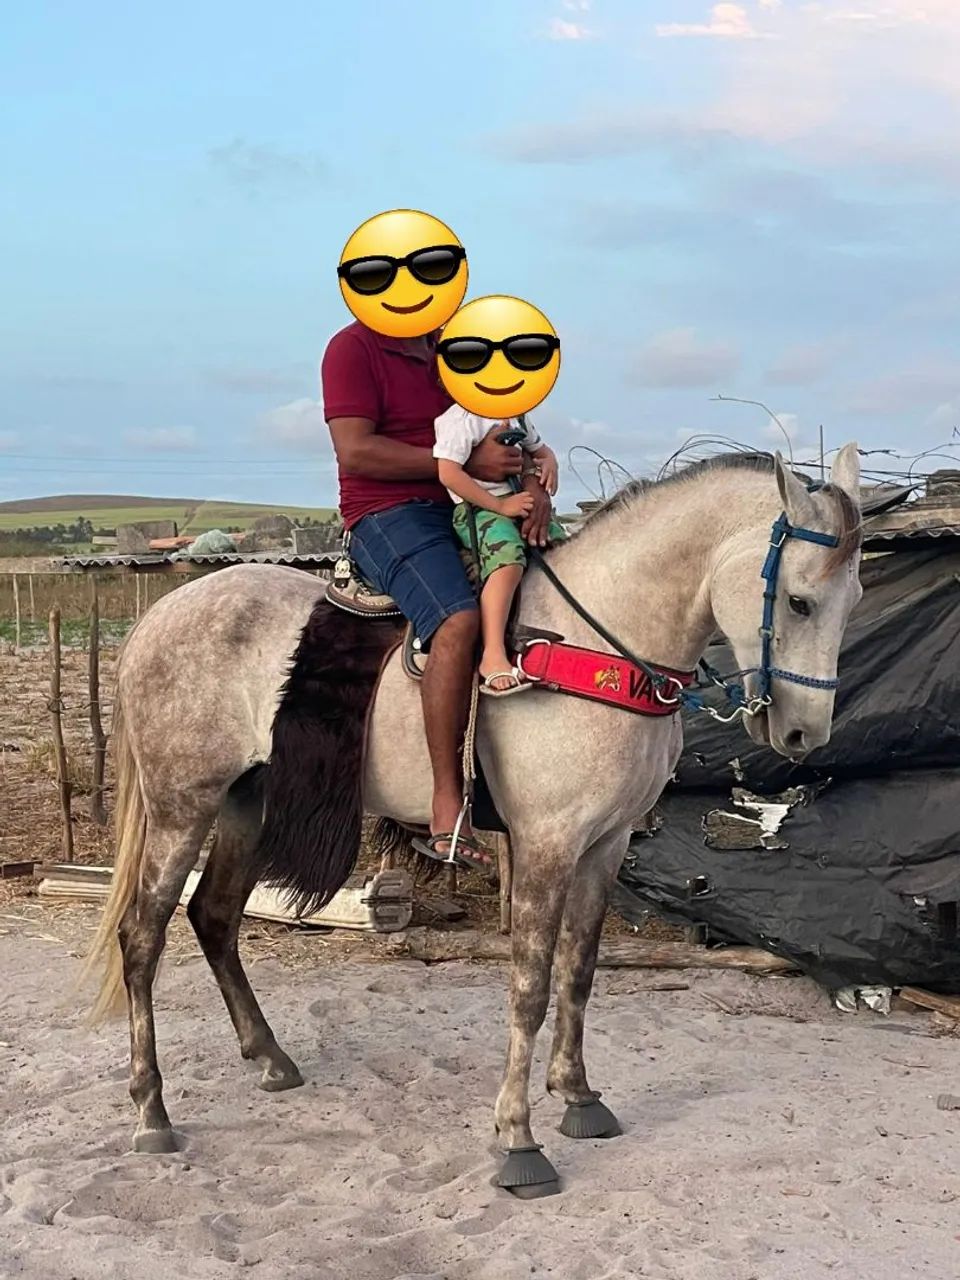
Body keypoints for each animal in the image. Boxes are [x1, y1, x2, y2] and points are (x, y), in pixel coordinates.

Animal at [83, 447, 863, 1197]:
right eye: (798, 601)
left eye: (851, 598)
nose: (804, 735)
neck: (593, 641)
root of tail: (157, 617)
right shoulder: (547, 844)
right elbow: (530, 988)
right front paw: (519, 1142)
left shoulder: (606, 845)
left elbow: (579, 972)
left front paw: (578, 1098)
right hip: (184, 805)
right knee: (143, 935)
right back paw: (152, 1111)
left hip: (248, 800)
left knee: (213, 916)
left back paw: (270, 1058)